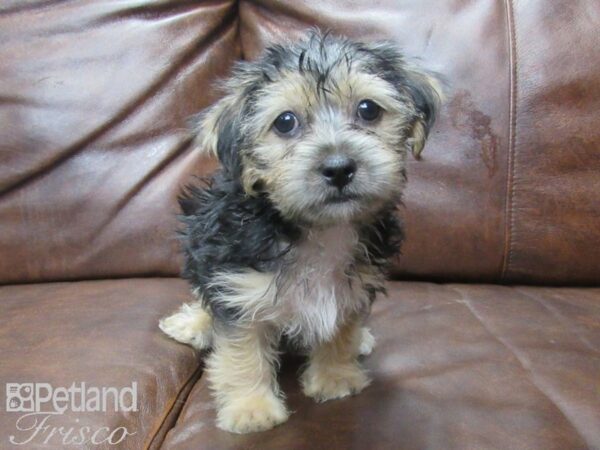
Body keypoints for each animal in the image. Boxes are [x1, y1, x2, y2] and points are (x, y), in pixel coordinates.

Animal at [159, 29, 440, 434]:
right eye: (285, 122)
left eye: (368, 109)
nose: (339, 168)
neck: (319, 229)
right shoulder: (236, 288)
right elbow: (242, 352)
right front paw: (251, 408)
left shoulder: (351, 286)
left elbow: (339, 330)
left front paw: (335, 377)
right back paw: (192, 322)